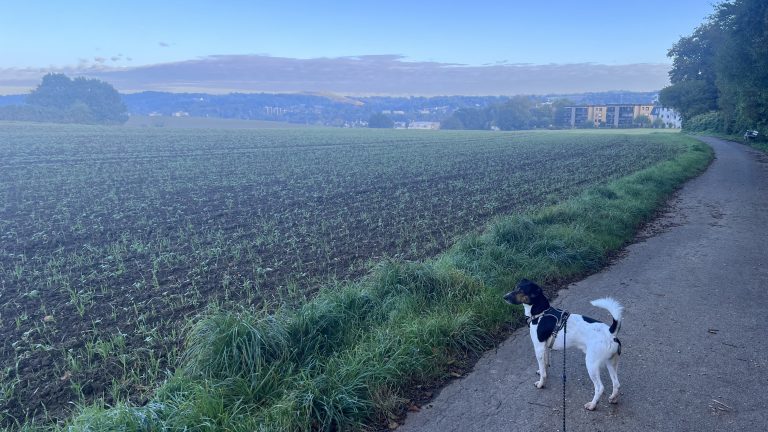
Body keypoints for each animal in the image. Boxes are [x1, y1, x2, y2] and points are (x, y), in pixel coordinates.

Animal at [504, 278, 624, 410]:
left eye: (521, 290)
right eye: (515, 287)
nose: (504, 297)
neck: (541, 313)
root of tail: (611, 333)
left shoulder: (539, 348)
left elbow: (543, 371)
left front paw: (541, 383)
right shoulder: (545, 348)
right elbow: (545, 364)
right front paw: (542, 371)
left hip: (591, 364)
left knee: (600, 388)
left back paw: (592, 405)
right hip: (611, 363)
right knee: (616, 383)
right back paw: (613, 398)